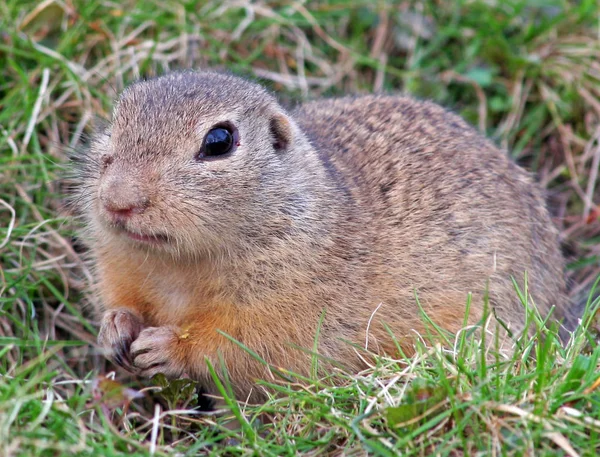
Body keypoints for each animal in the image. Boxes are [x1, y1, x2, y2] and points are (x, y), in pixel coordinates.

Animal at [71, 70, 576, 400]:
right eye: (116, 121)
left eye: (219, 141)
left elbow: (240, 347)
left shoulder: (285, 309)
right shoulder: (121, 265)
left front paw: (165, 346)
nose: (118, 201)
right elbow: (121, 297)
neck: (177, 267)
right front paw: (116, 327)